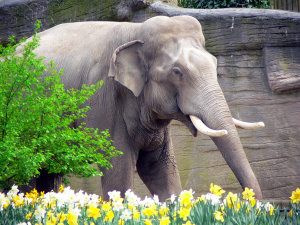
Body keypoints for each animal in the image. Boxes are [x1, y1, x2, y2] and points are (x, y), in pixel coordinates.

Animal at [31, 14, 264, 200]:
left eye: (215, 63)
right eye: (177, 72)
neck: (135, 31)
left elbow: (159, 168)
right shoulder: (102, 99)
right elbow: (118, 173)